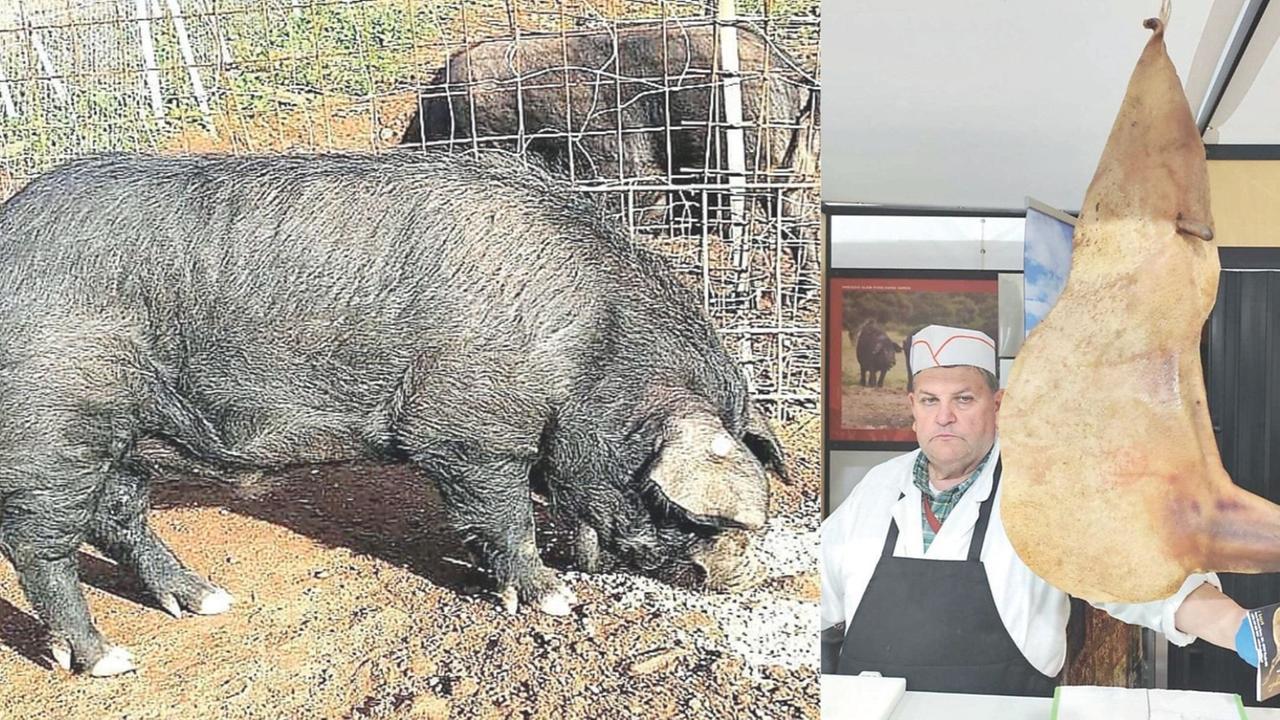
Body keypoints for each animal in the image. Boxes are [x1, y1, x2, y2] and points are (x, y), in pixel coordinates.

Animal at [0, 151, 787, 676]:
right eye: (683, 510)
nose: (741, 577)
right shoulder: (471, 434)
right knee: (38, 546)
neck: (588, 353)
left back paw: (208, 600)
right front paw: (555, 600)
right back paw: (110, 660)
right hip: (54, 428)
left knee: (118, 516)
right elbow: (508, 518)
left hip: (126, 436)